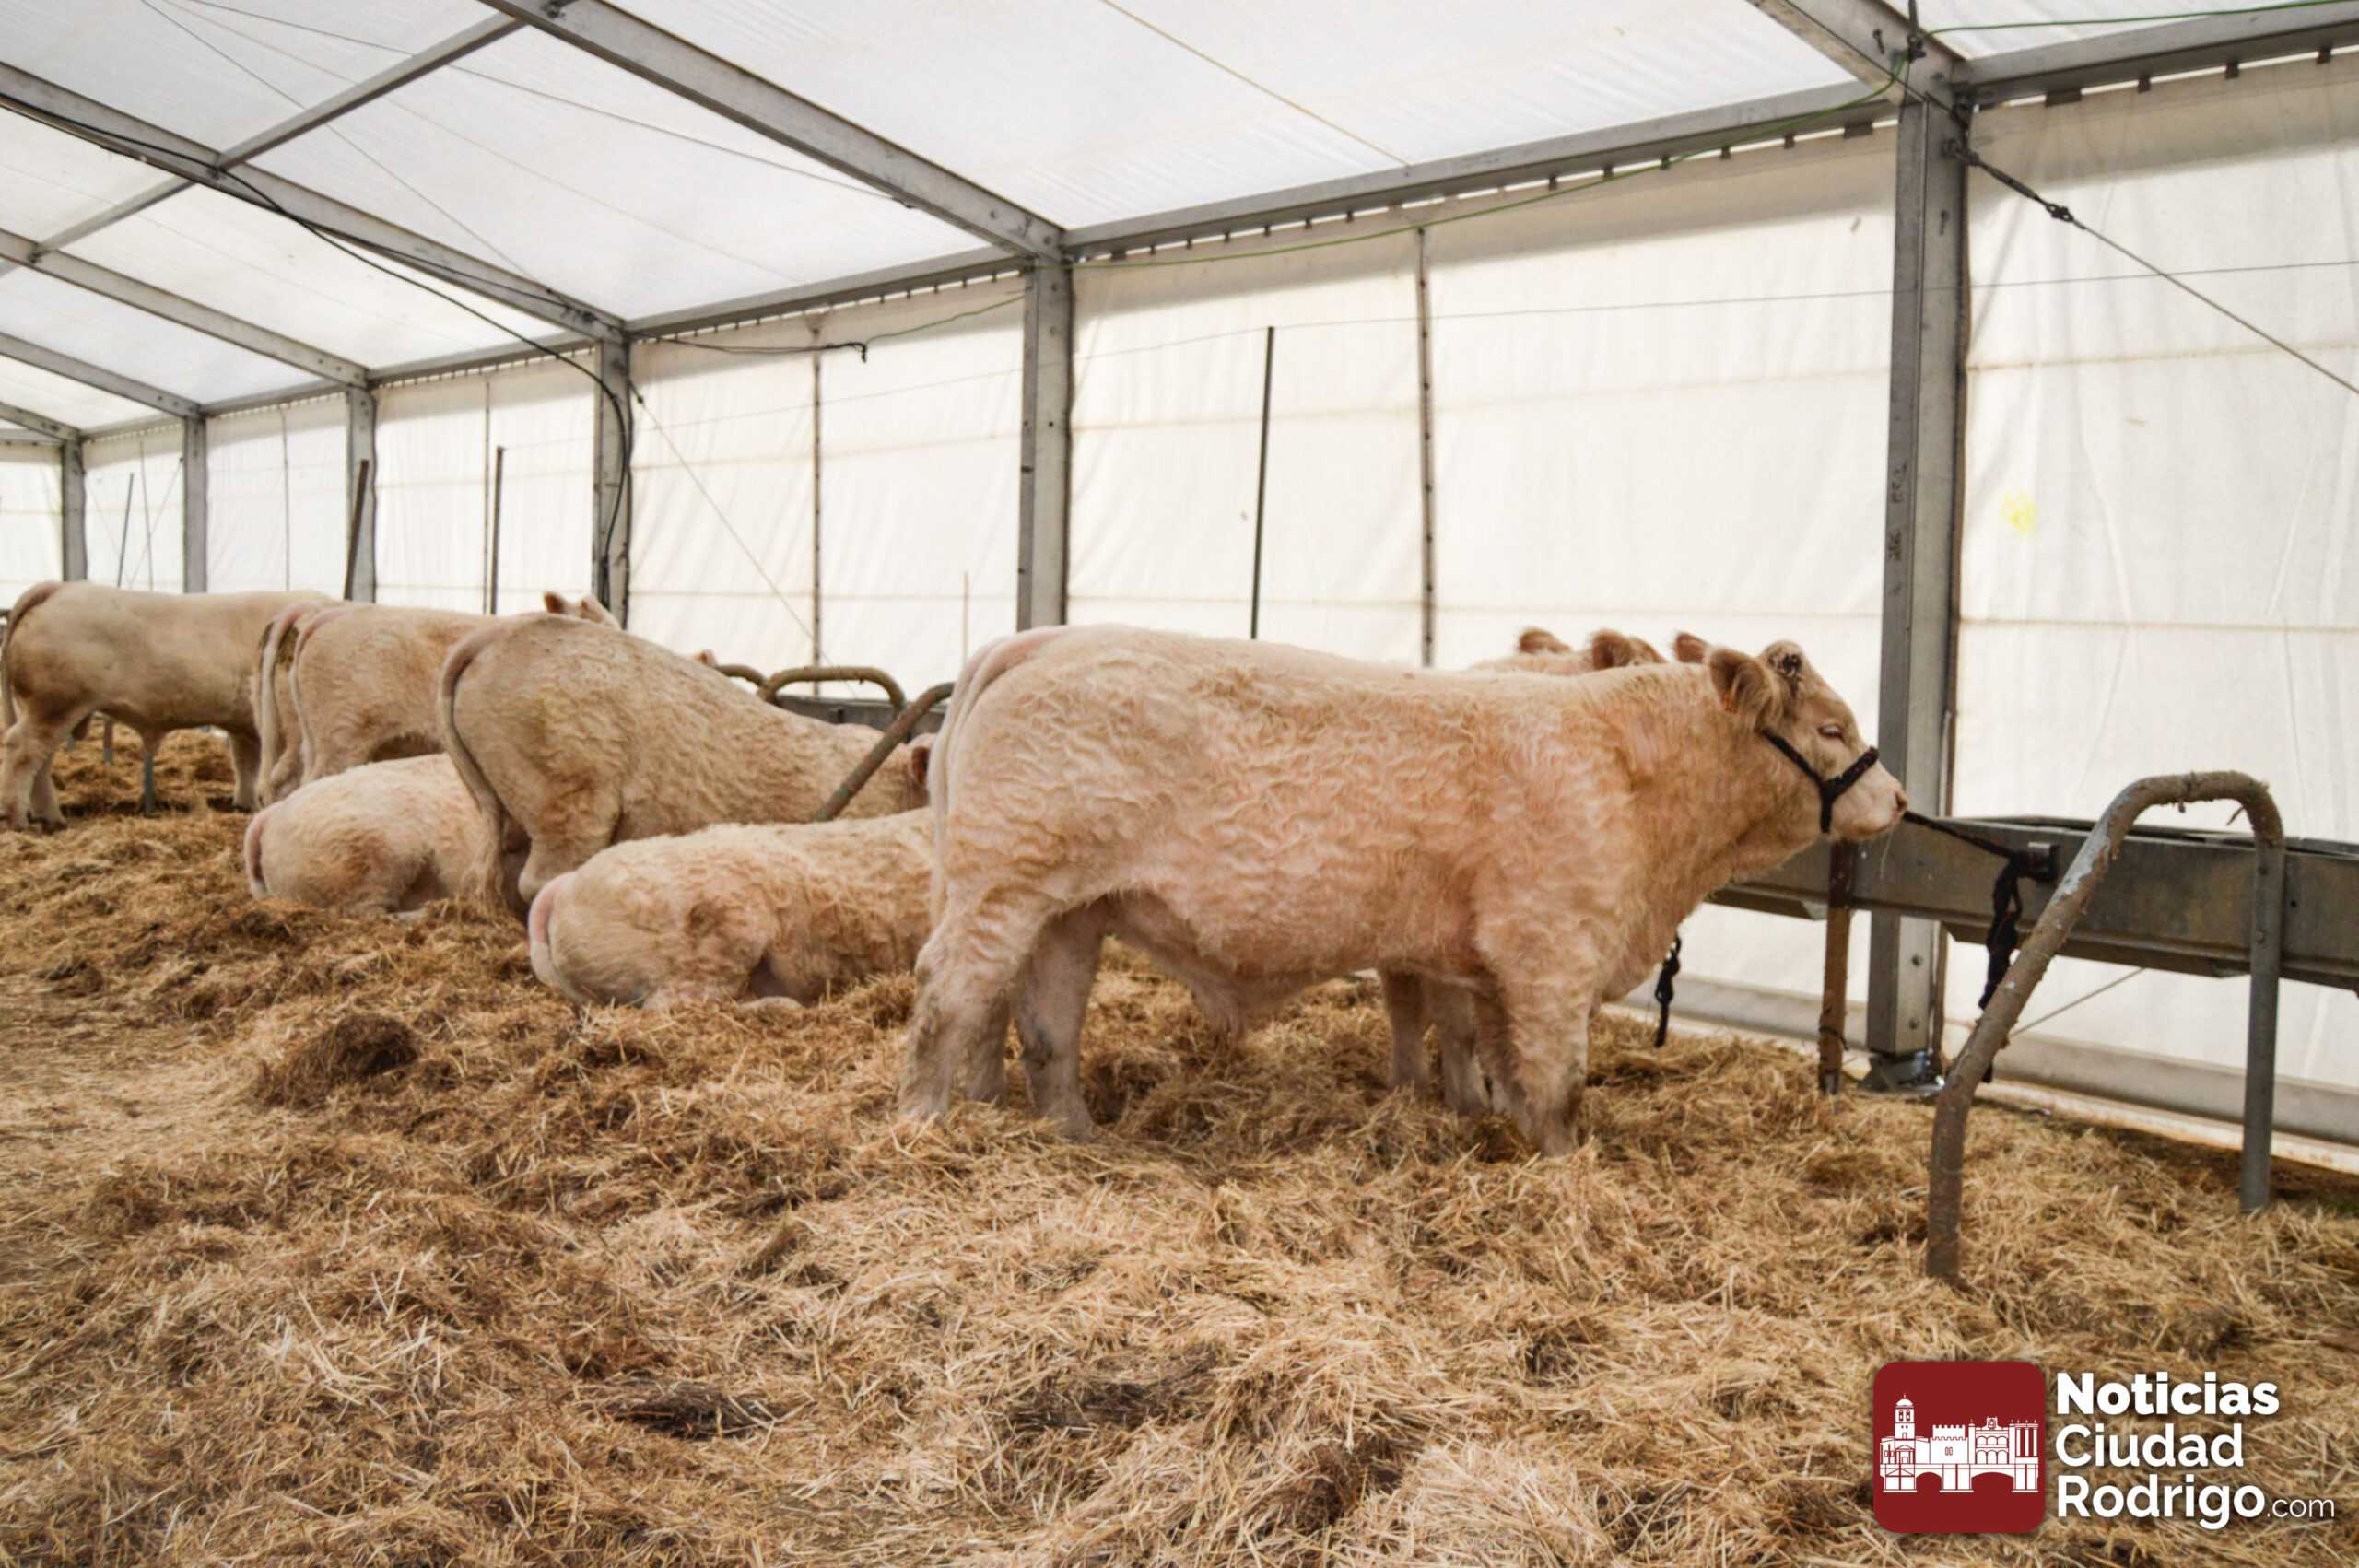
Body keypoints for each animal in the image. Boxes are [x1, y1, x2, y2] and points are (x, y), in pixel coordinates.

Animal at [2, 582, 329, 828]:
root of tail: (58, 587)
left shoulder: (245, 725)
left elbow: (247, 763)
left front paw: (246, 803)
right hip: (55, 705)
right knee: (22, 750)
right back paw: (19, 819)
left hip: (51, 709)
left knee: (40, 761)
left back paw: (51, 818)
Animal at [898, 625, 1904, 1154]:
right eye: (1830, 725)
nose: (1897, 799)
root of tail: (1037, 640)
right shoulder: (1549, 952)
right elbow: (1558, 1082)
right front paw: (1565, 1168)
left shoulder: (1488, 965)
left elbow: (1493, 1061)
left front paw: (1485, 1124)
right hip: (1003, 887)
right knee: (947, 996)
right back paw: (922, 1122)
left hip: (1069, 908)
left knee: (1042, 1024)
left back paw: (1072, 1135)